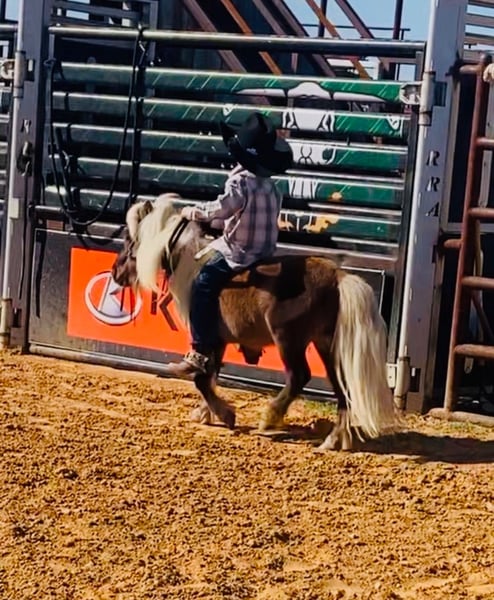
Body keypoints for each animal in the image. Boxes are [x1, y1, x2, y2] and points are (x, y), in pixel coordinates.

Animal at [111, 193, 400, 450]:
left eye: (129, 239)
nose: (115, 273)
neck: (192, 267)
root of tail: (337, 276)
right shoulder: (219, 342)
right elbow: (211, 376)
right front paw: (206, 413)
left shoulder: (208, 338)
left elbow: (201, 379)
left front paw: (225, 414)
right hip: (325, 344)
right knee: (341, 389)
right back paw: (333, 440)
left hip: (289, 340)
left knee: (299, 376)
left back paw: (270, 418)